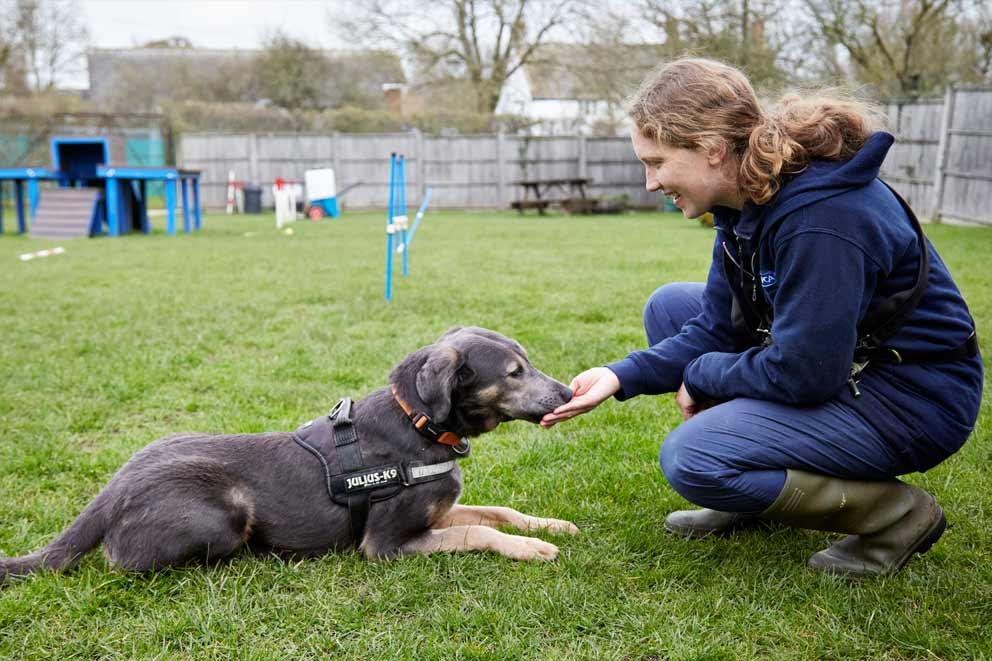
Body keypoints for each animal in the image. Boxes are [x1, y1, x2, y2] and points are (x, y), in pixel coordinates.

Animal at [0, 326, 576, 584]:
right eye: (514, 373)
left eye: (527, 362)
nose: (570, 392)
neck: (420, 425)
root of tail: (112, 488)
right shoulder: (384, 545)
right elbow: (478, 531)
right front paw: (531, 548)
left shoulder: (437, 512)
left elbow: (496, 511)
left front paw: (548, 525)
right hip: (225, 518)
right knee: (120, 560)